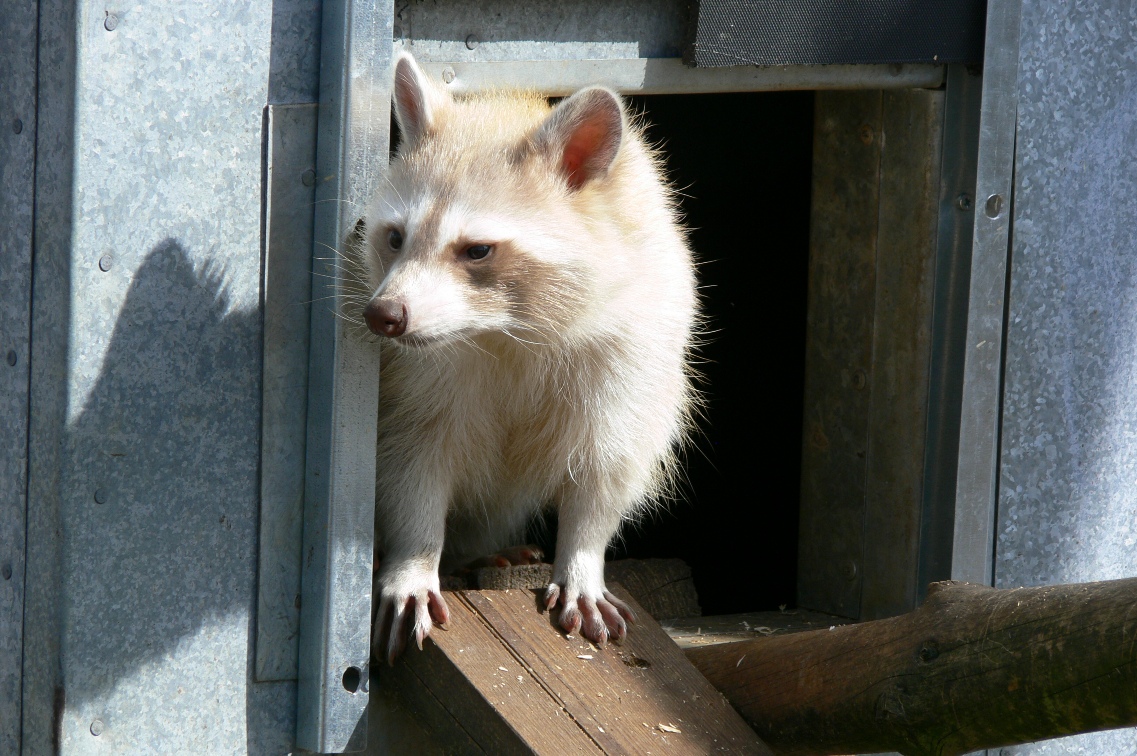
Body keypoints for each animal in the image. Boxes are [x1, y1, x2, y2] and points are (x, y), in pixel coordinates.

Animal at [363, 53, 698, 663]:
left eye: (477, 250)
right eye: (395, 237)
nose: (383, 316)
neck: (502, 331)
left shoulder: (635, 345)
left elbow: (607, 465)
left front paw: (583, 554)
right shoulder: (410, 375)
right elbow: (410, 459)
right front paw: (413, 558)